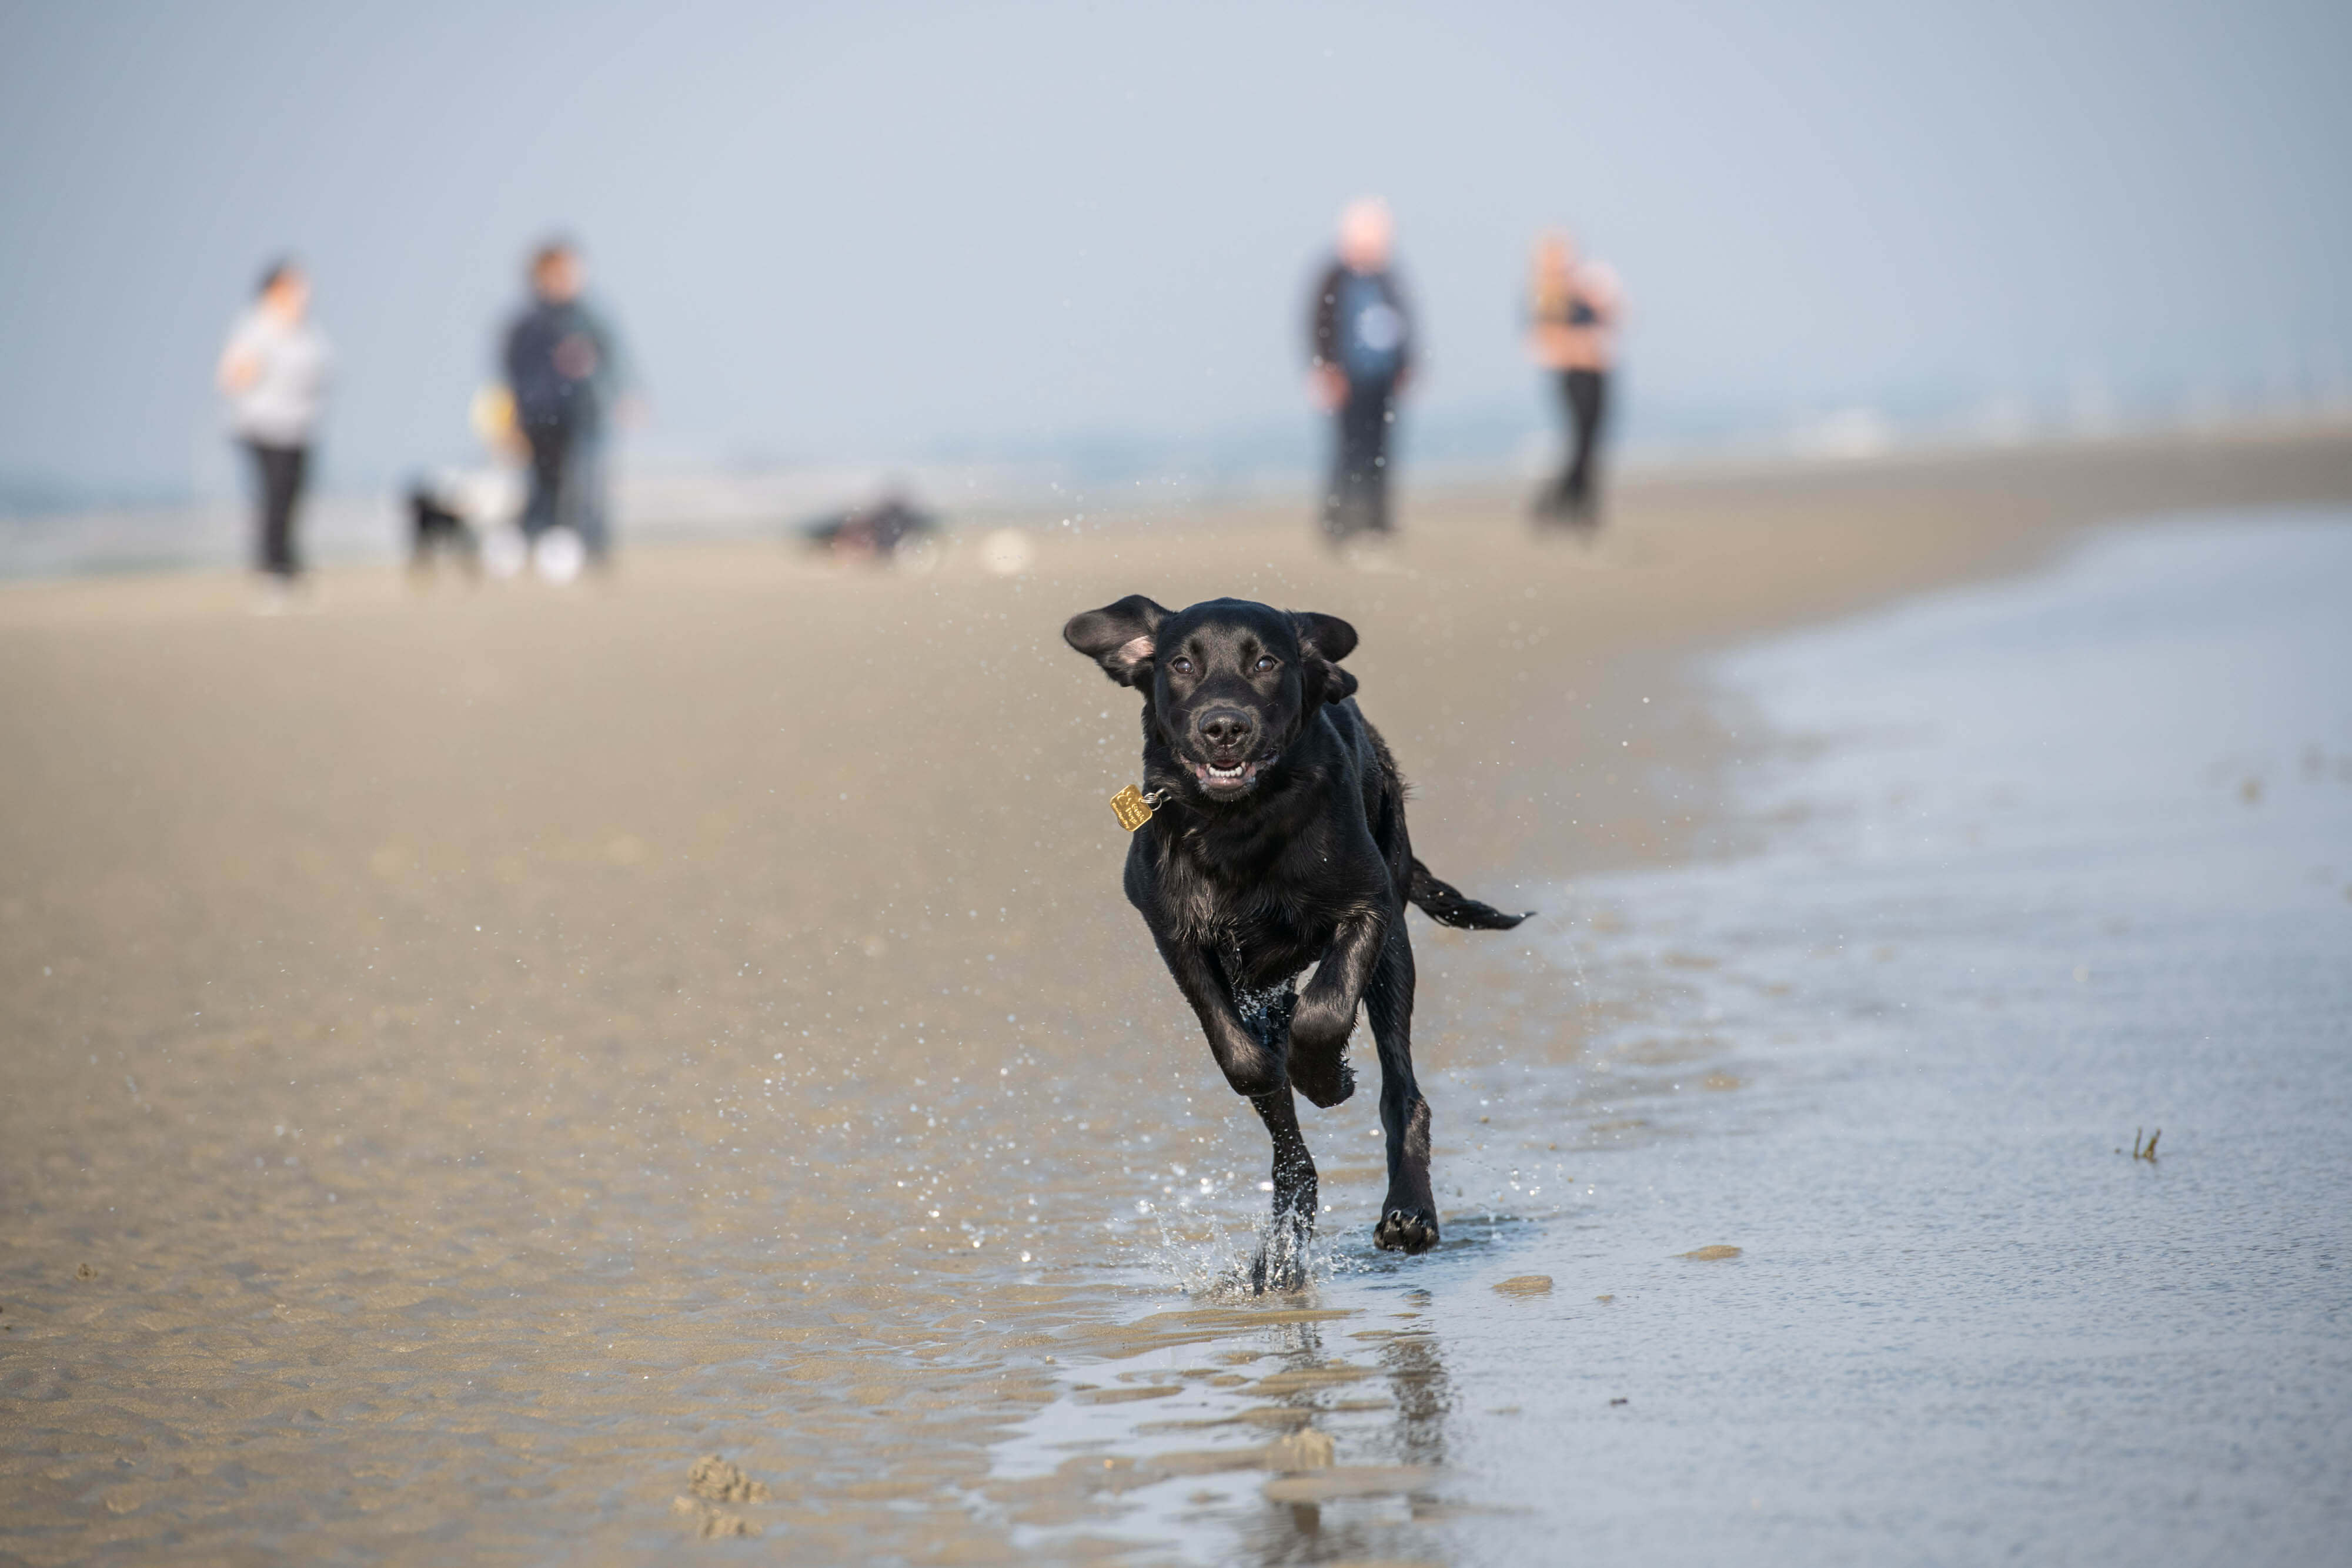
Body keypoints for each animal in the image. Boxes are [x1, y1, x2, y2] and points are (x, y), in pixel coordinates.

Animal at [1063, 594, 1524, 1279]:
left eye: (1265, 662)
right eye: (1180, 664)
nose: (1224, 727)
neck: (1240, 826)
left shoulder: (1368, 906)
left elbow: (1326, 1011)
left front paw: (1329, 1079)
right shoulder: (1178, 937)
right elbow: (1245, 1058)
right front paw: (1289, 1069)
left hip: (1394, 942)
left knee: (1402, 1089)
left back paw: (1408, 1212)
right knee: (1291, 1149)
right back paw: (1279, 1252)